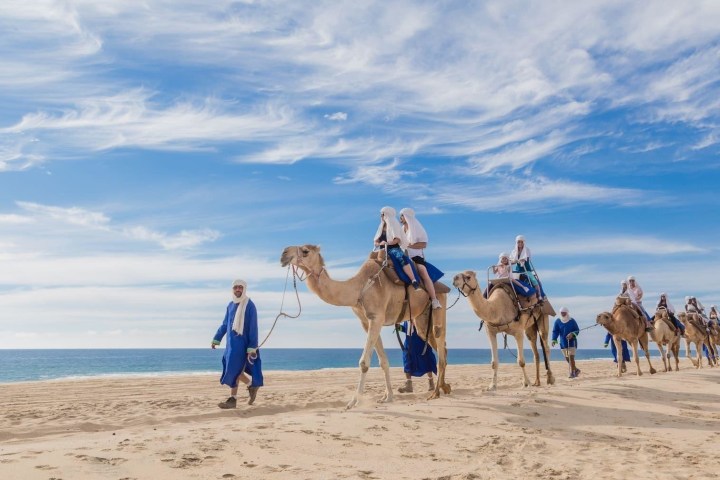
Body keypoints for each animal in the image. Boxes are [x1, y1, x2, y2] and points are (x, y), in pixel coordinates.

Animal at [282, 244, 450, 408]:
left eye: (305, 251)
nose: (283, 254)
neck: (360, 287)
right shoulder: (367, 321)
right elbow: (383, 362)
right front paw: (388, 397)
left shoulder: (376, 318)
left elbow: (364, 363)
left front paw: (353, 402)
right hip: (420, 319)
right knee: (440, 346)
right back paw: (445, 387)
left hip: (439, 303)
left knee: (439, 342)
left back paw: (435, 393)